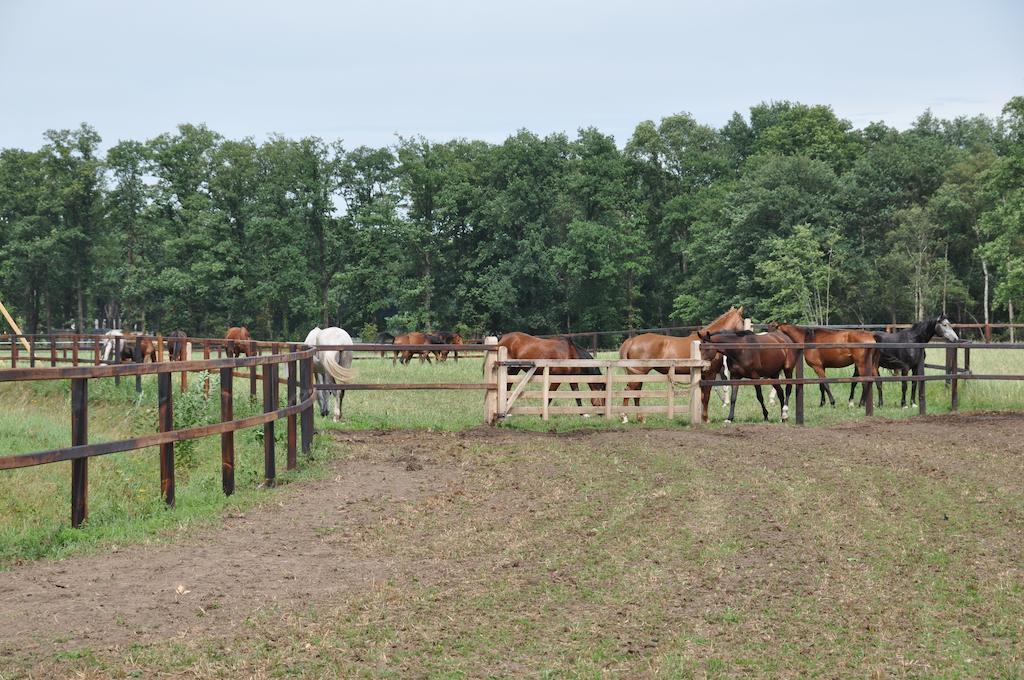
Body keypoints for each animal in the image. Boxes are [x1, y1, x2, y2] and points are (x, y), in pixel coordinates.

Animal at [614, 307, 745, 419]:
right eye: (743, 321)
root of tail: (631, 340)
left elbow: (702, 397)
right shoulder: (710, 375)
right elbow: (706, 397)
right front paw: (705, 418)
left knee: (636, 392)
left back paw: (640, 417)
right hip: (638, 374)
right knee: (629, 391)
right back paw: (624, 416)